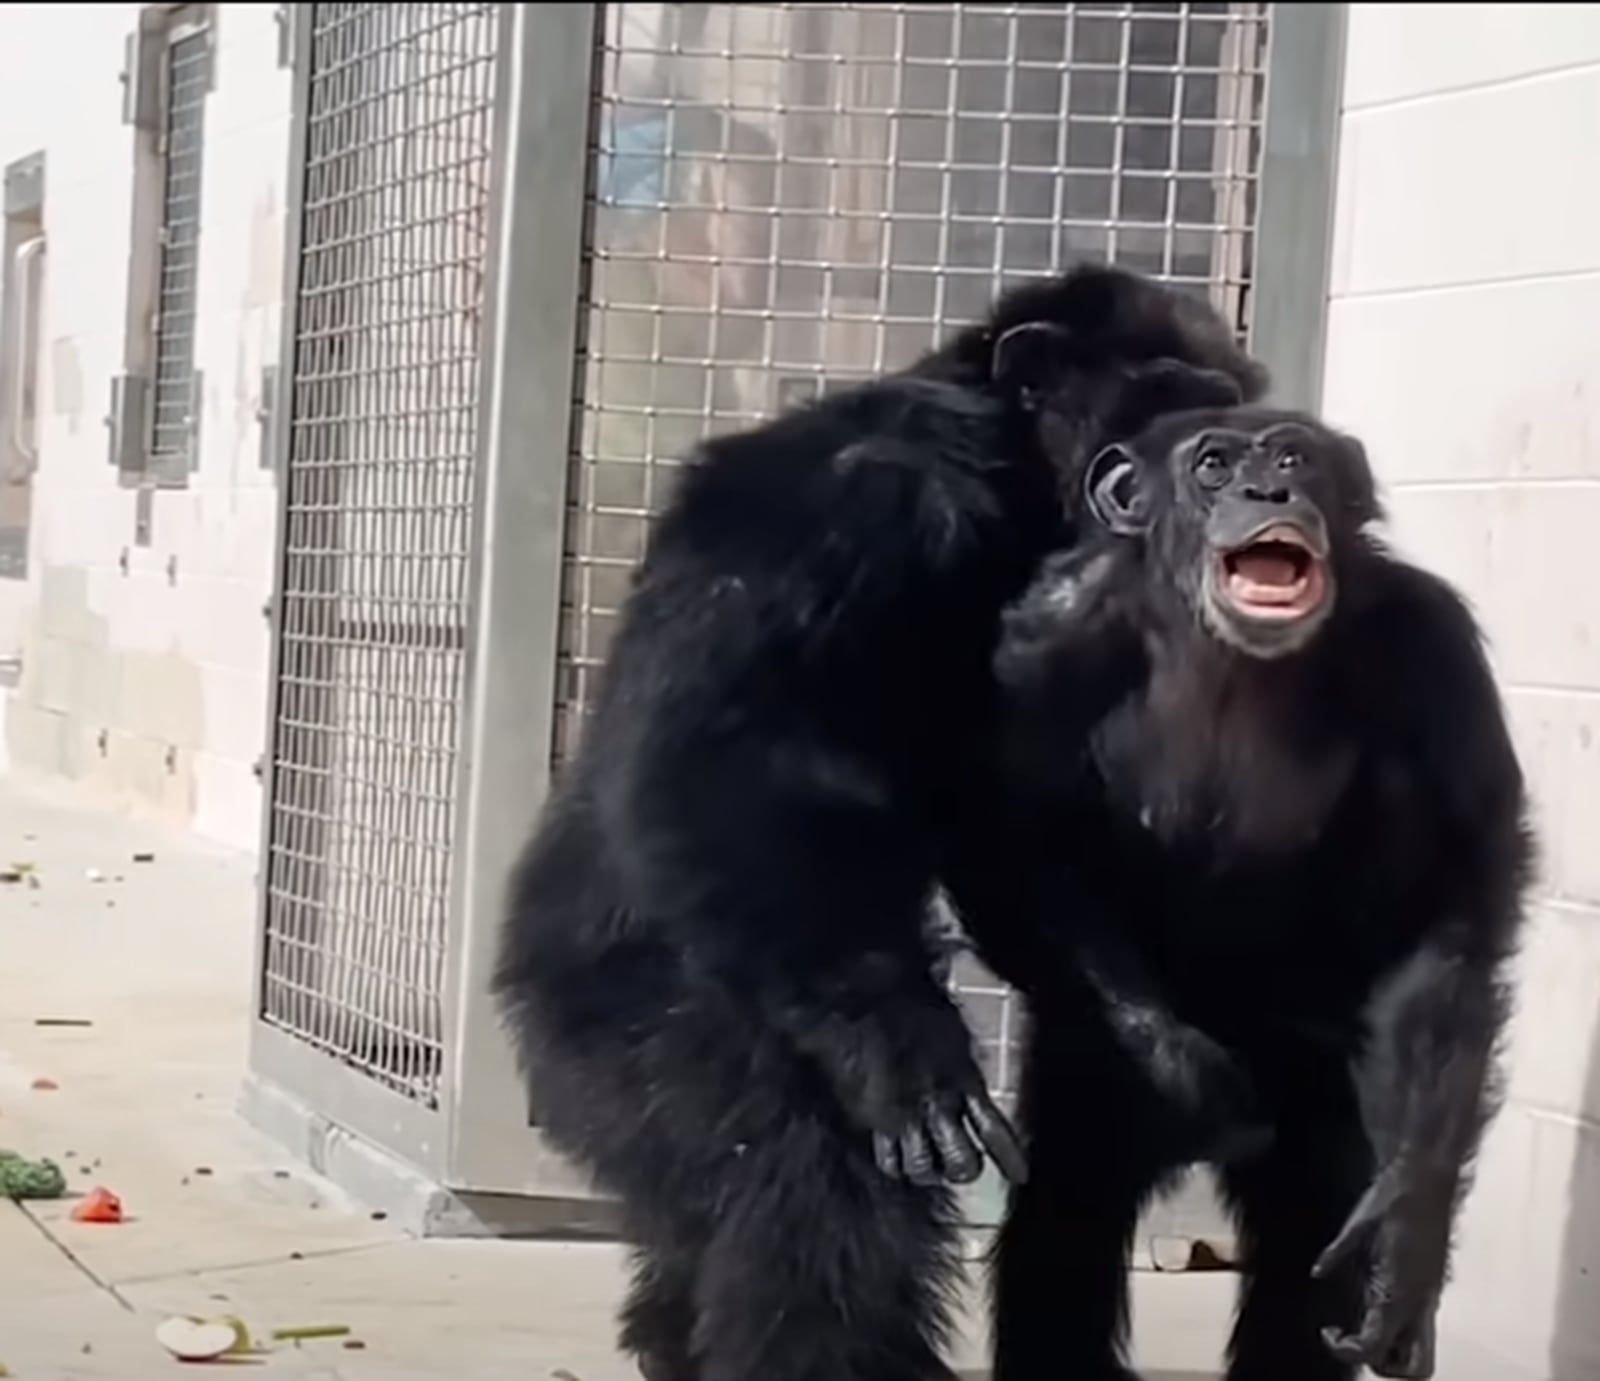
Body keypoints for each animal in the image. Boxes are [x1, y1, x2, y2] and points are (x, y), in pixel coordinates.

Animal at [486, 267, 1260, 1381]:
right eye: (1165, 407)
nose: (1192, 486)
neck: (1011, 491)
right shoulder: (846, 503)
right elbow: (734, 745)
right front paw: (898, 1042)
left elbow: (1009, 835)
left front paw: (1156, 1046)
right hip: (626, 1029)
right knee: (805, 1174)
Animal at [979, 408, 1529, 1381]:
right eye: (1213, 463)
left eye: (1293, 457)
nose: (1266, 489)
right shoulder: (1046, 640)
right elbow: (1019, 841)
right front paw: (1186, 1078)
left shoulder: (1433, 649)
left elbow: (1455, 906)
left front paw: (1405, 1235)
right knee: (1066, 1219)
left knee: (1301, 1234)